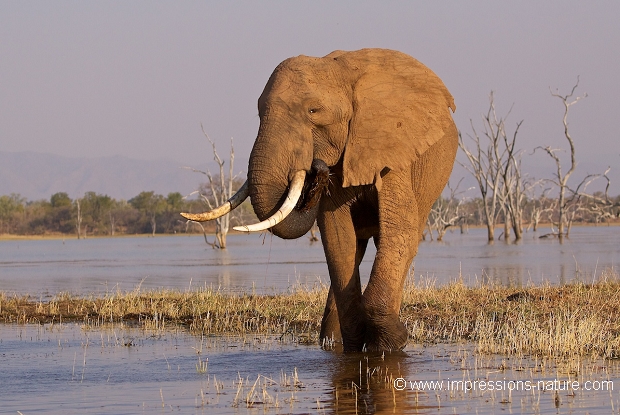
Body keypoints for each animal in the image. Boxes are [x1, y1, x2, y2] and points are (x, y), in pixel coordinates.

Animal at [182, 49, 458, 354]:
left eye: (313, 111)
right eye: (259, 112)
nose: (317, 168)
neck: (342, 72)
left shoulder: (392, 149)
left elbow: (401, 229)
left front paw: (388, 345)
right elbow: (337, 235)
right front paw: (357, 344)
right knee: (356, 247)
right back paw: (330, 342)